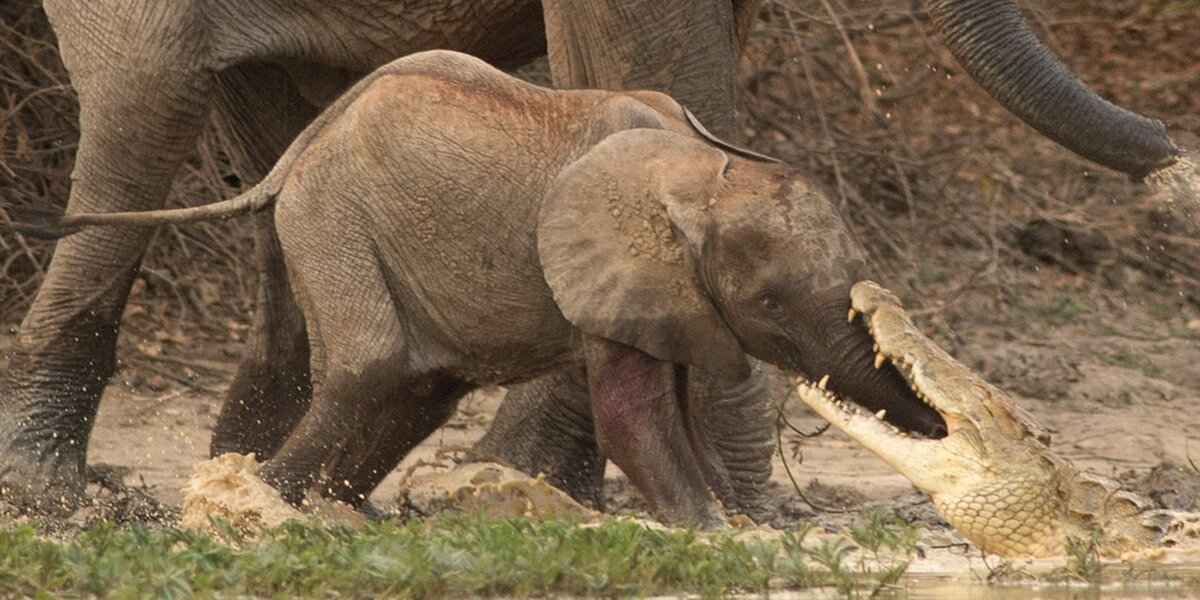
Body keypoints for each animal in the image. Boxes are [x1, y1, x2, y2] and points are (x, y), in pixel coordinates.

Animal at [0, 0, 1181, 515]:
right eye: (769, 297)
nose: (1178, 162)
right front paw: (726, 523)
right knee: (146, 104)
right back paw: (71, 497)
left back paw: (262, 491)